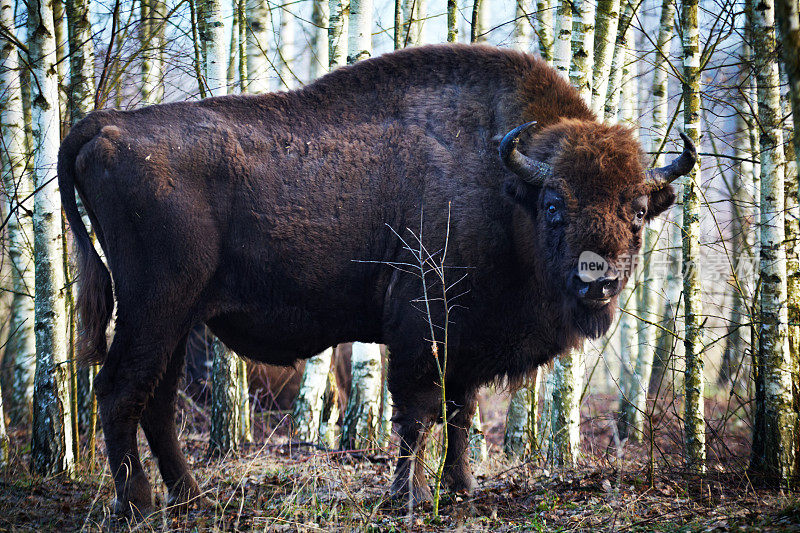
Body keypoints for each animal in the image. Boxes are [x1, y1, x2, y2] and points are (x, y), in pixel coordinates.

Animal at [57, 43, 692, 512]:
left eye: (638, 210)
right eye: (556, 205)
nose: (597, 281)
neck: (505, 186)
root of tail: (107, 127)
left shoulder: (464, 338)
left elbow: (459, 412)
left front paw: (461, 487)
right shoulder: (422, 325)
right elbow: (417, 412)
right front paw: (407, 497)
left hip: (180, 319)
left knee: (156, 401)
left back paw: (191, 498)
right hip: (155, 310)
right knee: (120, 390)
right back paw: (138, 504)